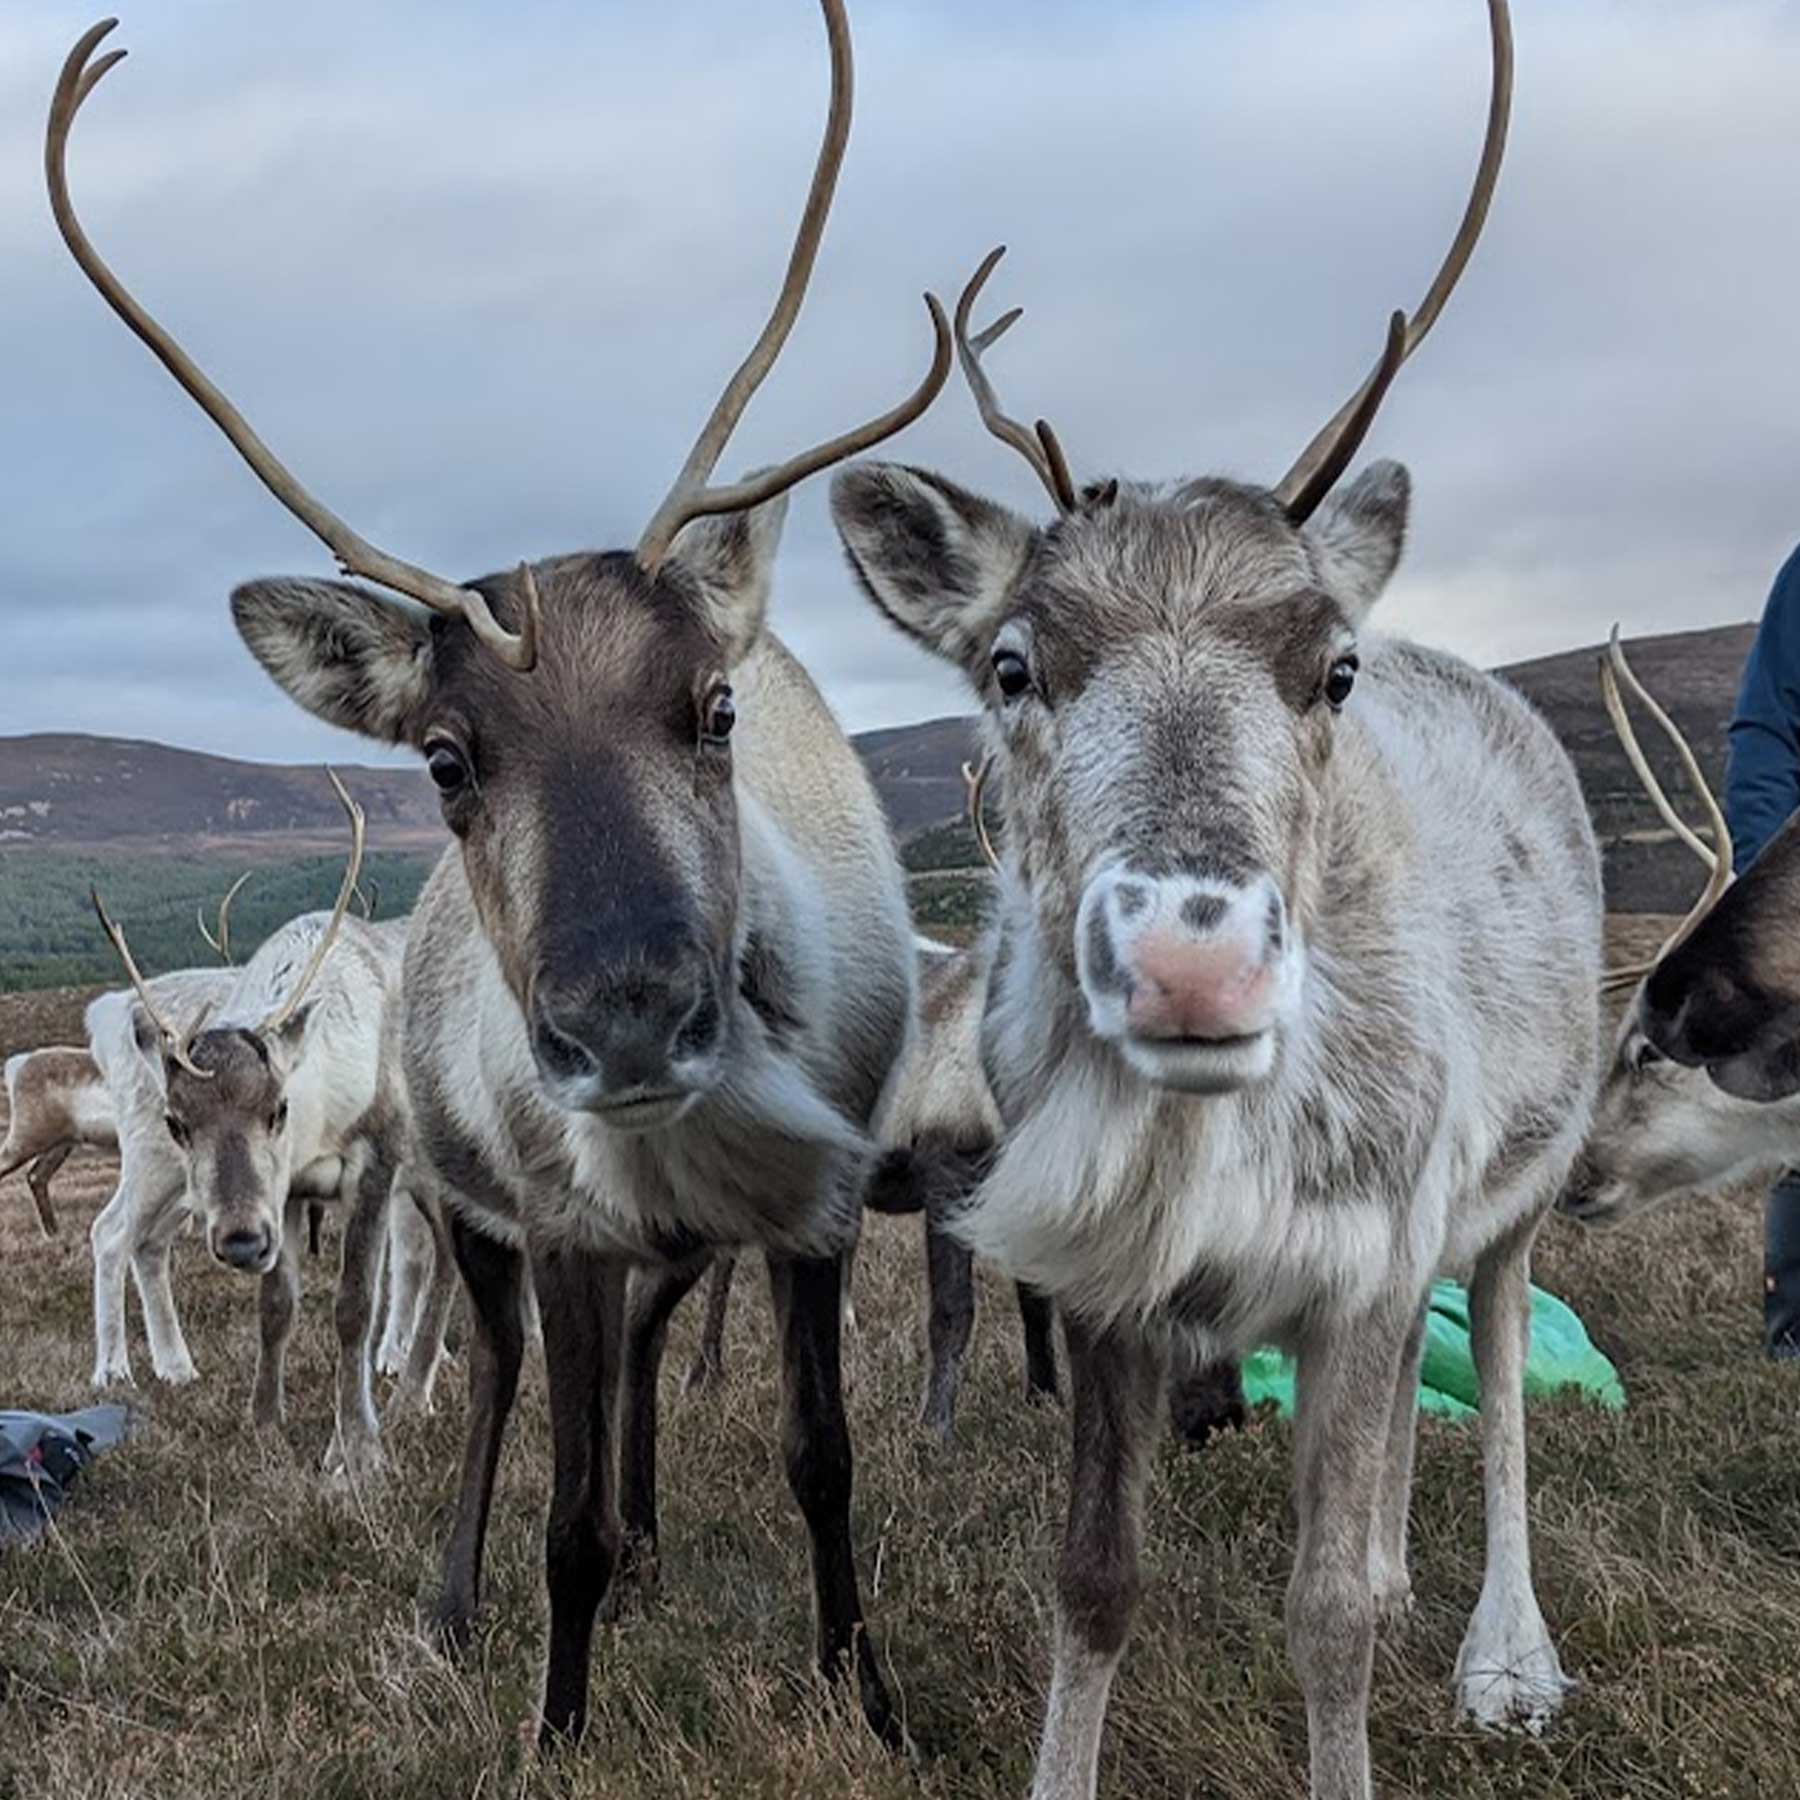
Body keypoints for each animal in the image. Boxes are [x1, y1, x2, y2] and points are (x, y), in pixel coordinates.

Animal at [47, 0, 950, 1751]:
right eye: (447, 761)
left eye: (717, 706)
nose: (630, 1023)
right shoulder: (557, 1220)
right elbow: (560, 1506)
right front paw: (558, 1720)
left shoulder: (808, 1210)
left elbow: (822, 1458)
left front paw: (867, 1695)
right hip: (472, 1207)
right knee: (509, 1392)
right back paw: (466, 1602)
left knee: (636, 1377)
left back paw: (653, 1540)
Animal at [829, 4, 1607, 1795]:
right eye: (1011, 663)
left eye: (1331, 669)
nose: (1194, 970)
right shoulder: (1111, 1289)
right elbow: (1094, 1581)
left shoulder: (1371, 1261)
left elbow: (1326, 1619)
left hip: (1521, 1185)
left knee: (1500, 1378)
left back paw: (1505, 1652)